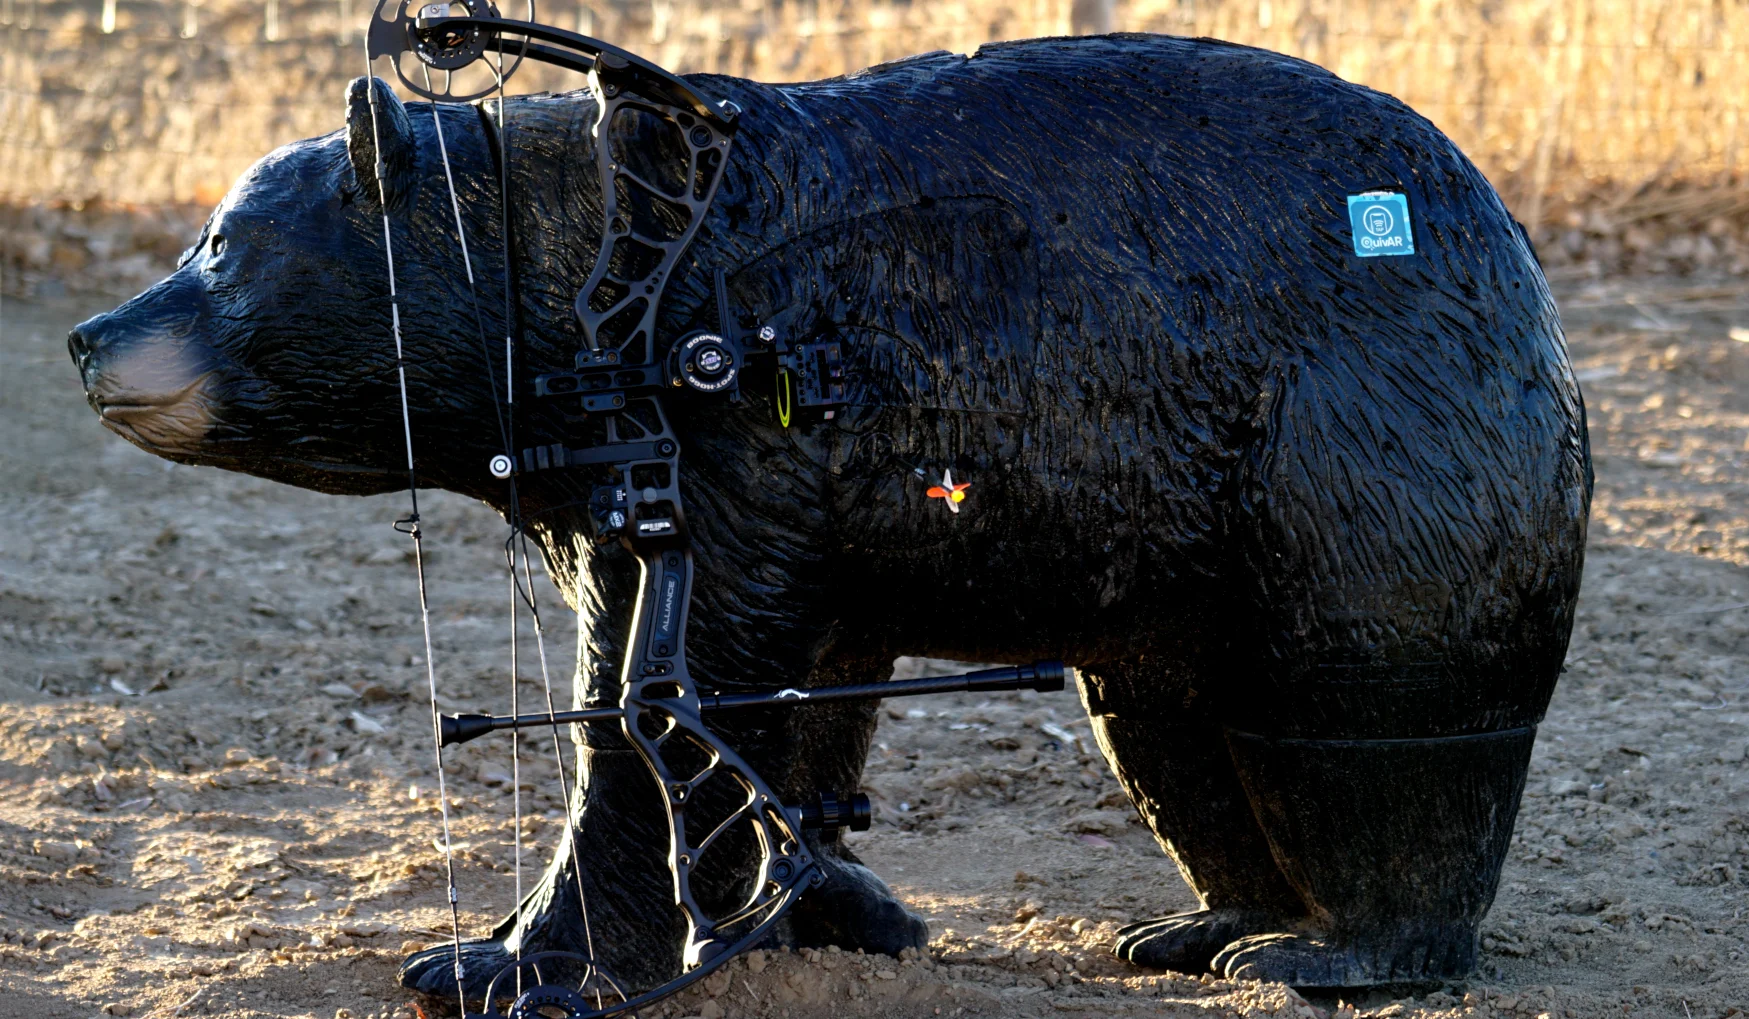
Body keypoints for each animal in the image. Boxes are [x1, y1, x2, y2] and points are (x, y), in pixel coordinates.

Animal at [68, 33, 1591, 996]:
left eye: (219, 244)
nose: (90, 333)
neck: (590, 289)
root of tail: (1515, 253)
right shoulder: (764, 497)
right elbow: (788, 705)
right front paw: (830, 906)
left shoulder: (738, 451)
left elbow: (659, 696)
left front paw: (506, 958)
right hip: (1184, 540)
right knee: (1172, 730)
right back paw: (1202, 918)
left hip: (1360, 449)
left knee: (1370, 710)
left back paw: (1334, 949)